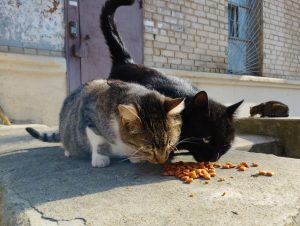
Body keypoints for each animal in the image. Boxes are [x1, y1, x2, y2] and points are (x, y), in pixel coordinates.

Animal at [26, 79, 185, 166]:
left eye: (170, 143)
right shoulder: (89, 116)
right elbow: (98, 140)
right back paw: (68, 151)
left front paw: (135, 157)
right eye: (147, 147)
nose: (162, 160)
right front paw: (100, 158)